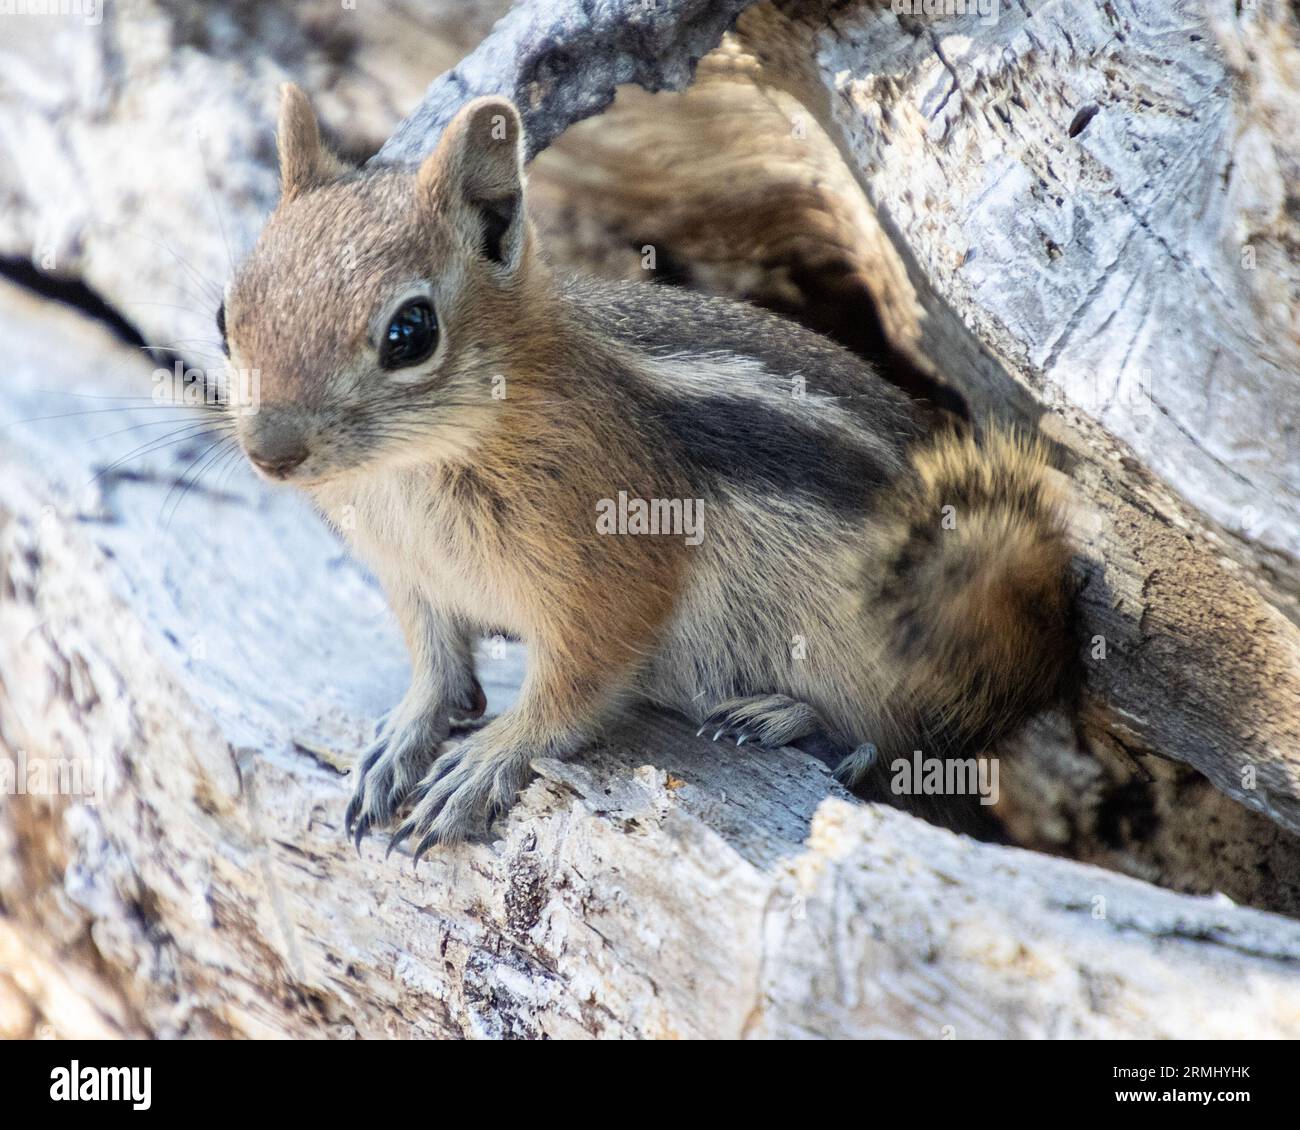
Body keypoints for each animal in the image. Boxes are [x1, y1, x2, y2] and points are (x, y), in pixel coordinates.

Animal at [215, 85, 1076, 853]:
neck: (412, 470)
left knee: (900, 747)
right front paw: (402, 737)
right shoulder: (414, 579)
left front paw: (491, 758)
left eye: (410, 333)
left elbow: (572, 688)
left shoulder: (610, 575)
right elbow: (437, 668)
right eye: (227, 314)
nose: (270, 452)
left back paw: (786, 717)